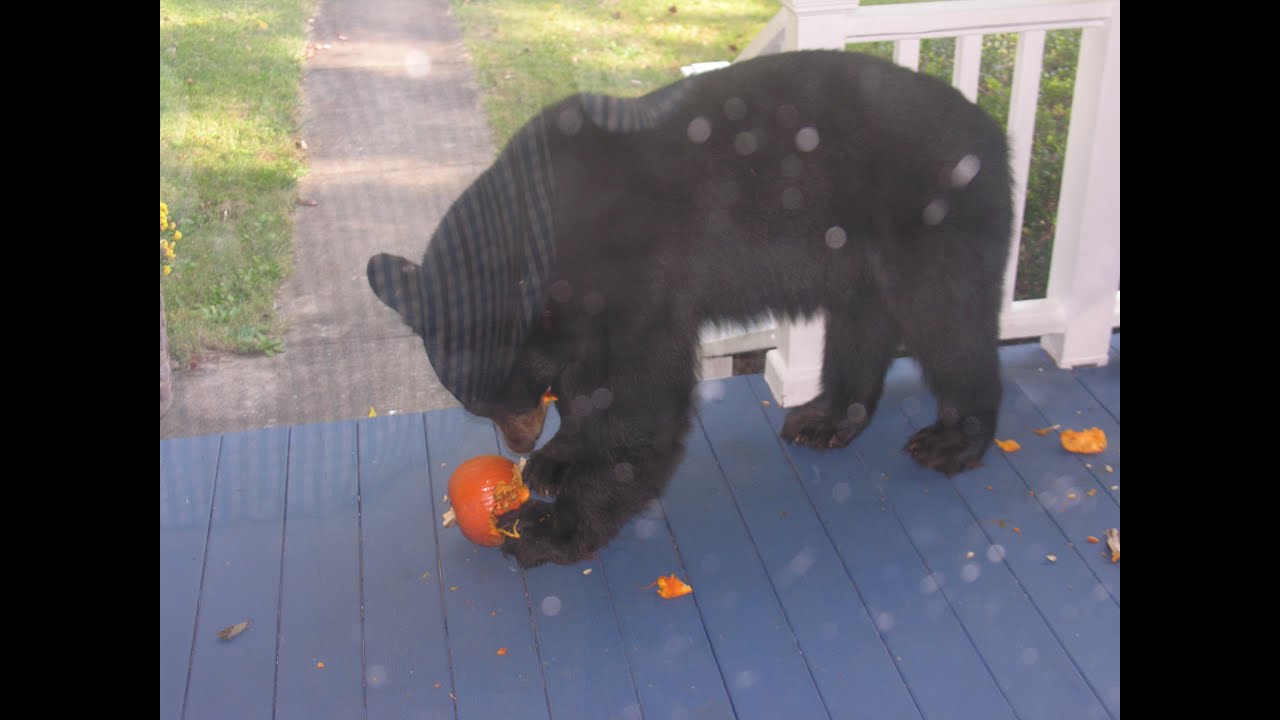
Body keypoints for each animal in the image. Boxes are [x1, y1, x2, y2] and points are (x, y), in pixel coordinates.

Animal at [367, 50, 1013, 568]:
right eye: (478, 407)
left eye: (509, 398)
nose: (520, 445)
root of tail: (990, 128)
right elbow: (588, 389)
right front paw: (557, 458)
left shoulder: (639, 281)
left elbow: (642, 402)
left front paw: (549, 526)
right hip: (858, 250)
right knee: (861, 322)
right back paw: (828, 417)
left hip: (932, 222)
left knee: (949, 323)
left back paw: (955, 439)